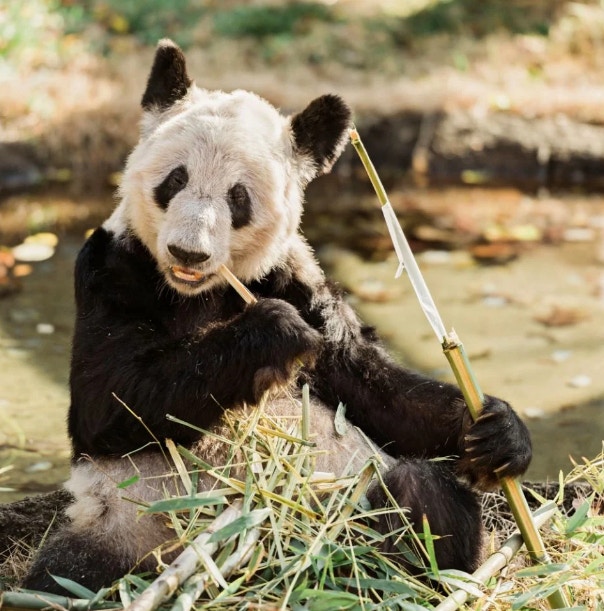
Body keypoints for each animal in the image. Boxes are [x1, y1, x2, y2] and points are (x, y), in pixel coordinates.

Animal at [22, 40, 532, 596]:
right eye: (175, 180)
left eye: (237, 197)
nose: (188, 251)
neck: (198, 291)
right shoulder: (111, 268)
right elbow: (108, 399)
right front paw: (273, 333)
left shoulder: (295, 278)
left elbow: (378, 390)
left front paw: (497, 433)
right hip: (127, 527)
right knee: (64, 577)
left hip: (353, 499)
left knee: (424, 495)